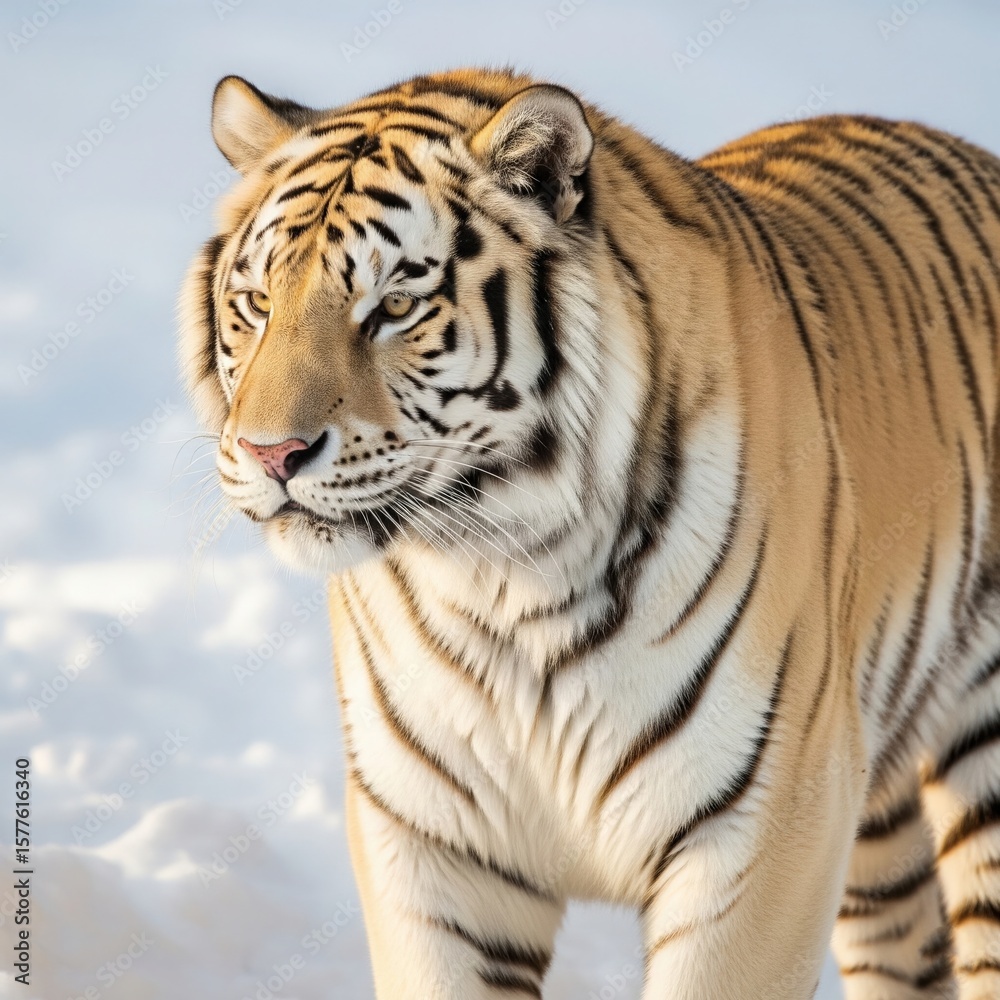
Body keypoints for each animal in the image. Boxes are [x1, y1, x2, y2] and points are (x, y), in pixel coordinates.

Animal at [178, 66, 1000, 999]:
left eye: (395, 306)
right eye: (257, 302)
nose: (270, 452)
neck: (502, 575)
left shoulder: (767, 821)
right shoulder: (431, 843)